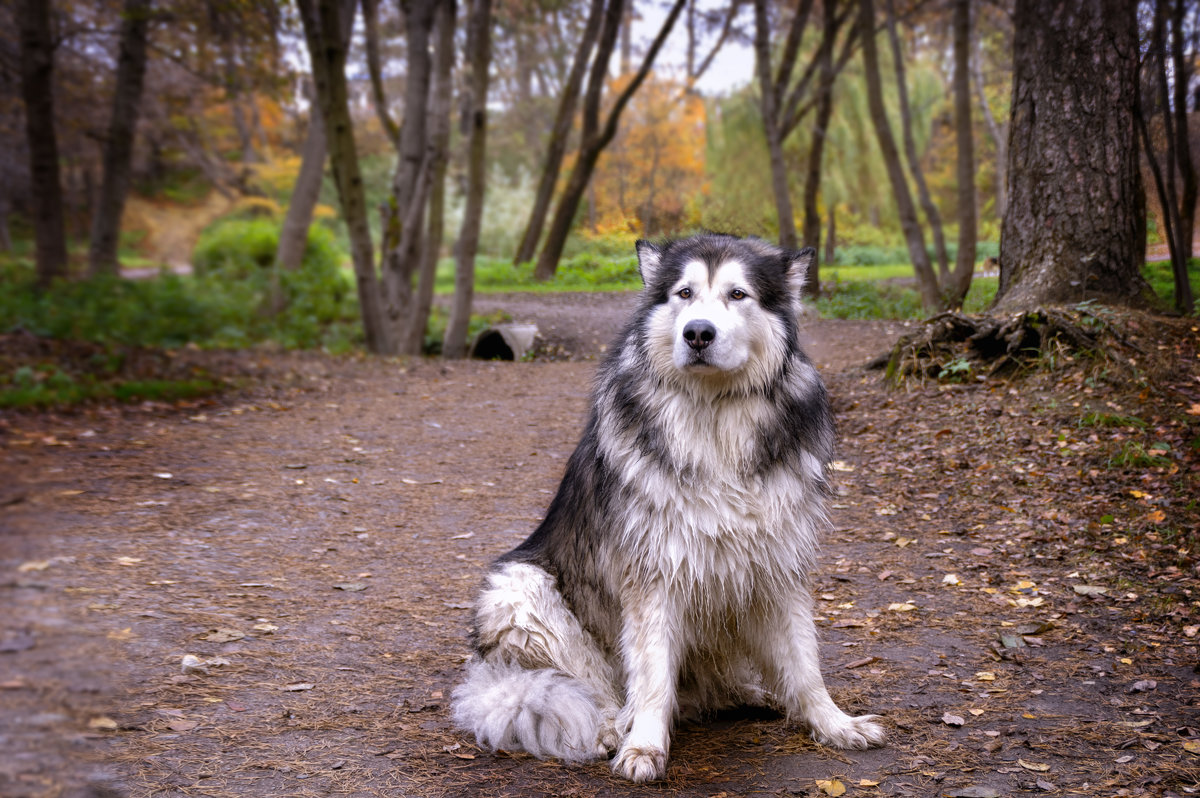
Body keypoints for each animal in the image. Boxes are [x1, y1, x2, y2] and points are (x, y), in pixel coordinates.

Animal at [453, 234, 888, 782]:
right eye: (684, 293)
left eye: (738, 294)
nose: (697, 333)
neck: (714, 415)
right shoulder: (653, 576)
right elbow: (653, 677)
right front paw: (644, 746)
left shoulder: (778, 568)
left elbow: (806, 666)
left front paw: (833, 723)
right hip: (519, 588)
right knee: (589, 688)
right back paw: (612, 725)